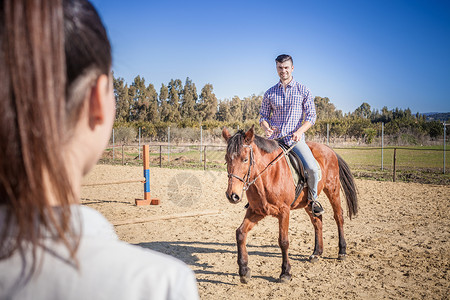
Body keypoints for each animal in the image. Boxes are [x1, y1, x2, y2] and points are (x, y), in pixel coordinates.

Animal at [222, 126, 358, 284]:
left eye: (245, 159)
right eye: (226, 159)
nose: (232, 195)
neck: (267, 175)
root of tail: (328, 149)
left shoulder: (284, 211)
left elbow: (283, 241)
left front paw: (285, 273)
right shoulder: (256, 211)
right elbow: (240, 233)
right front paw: (244, 271)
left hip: (333, 189)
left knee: (338, 217)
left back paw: (342, 251)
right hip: (308, 202)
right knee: (317, 221)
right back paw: (316, 253)